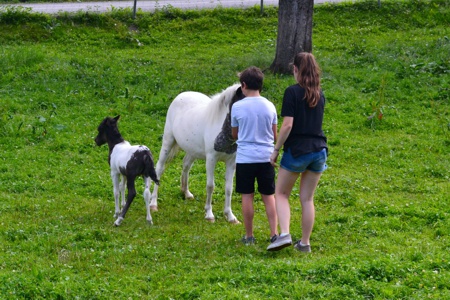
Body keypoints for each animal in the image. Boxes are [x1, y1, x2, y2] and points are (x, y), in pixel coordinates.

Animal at [150, 84, 243, 223]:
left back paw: (186, 192)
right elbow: (210, 186)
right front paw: (209, 214)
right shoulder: (211, 159)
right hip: (168, 141)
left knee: (186, 165)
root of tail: (182, 94)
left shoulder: (231, 161)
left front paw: (230, 216)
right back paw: (153, 204)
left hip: (192, 150)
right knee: (160, 168)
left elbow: (229, 188)